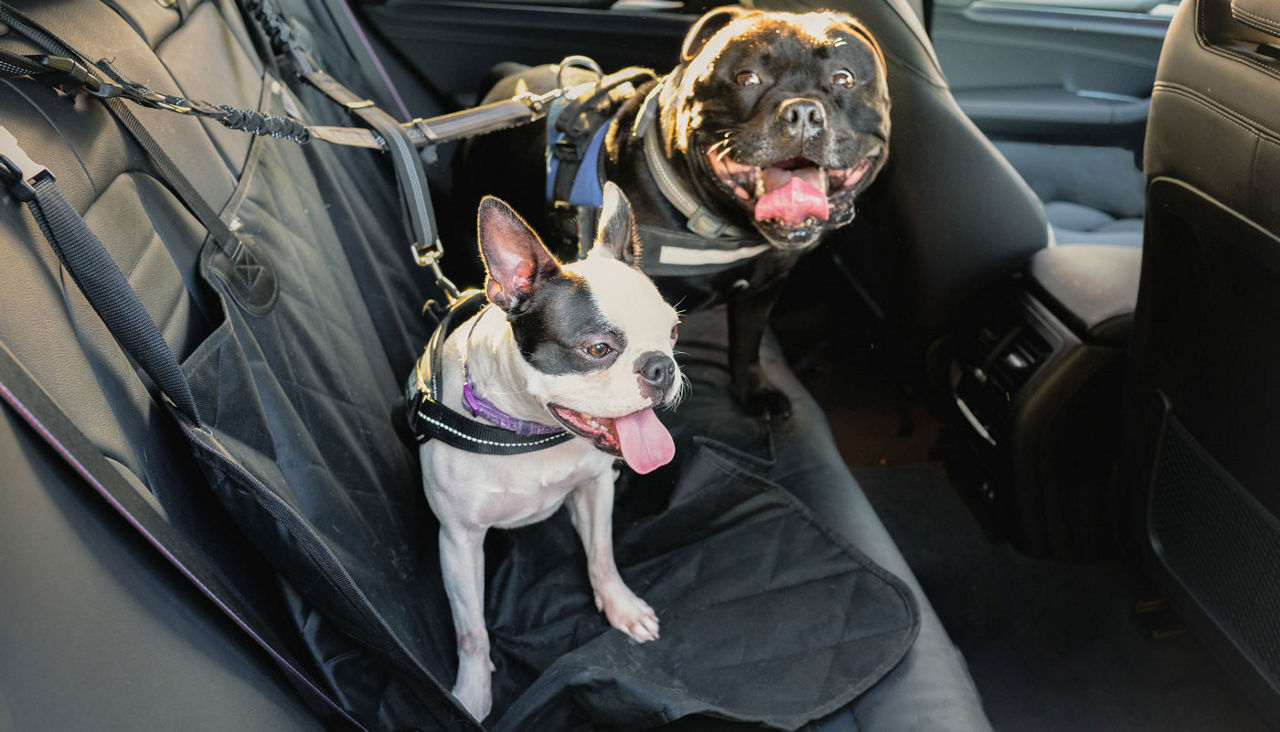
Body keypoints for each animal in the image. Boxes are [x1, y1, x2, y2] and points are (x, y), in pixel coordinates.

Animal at [419, 183, 680, 721]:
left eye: (673, 332)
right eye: (598, 350)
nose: (661, 366)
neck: (528, 432)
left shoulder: (595, 489)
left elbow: (601, 556)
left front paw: (620, 607)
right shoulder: (458, 540)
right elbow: (472, 630)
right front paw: (472, 693)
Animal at [455, 4, 885, 417]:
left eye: (844, 78)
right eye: (747, 78)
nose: (802, 112)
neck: (728, 226)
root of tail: (512, 76)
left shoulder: (763, 290)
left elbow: (748, 341)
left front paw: (754, 391)